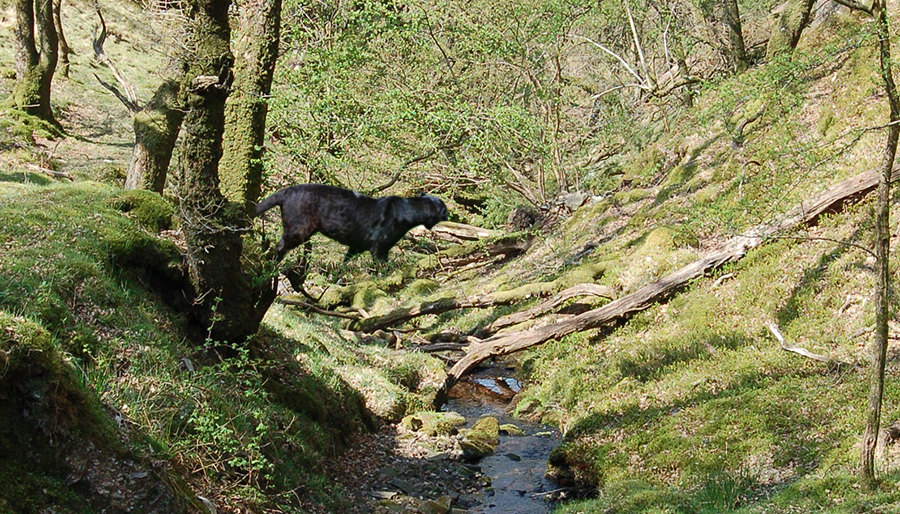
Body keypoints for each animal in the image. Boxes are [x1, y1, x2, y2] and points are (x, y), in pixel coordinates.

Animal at [253, 183, 450, 260]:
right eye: (445, 209)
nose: (449, 214)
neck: (409, 211)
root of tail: (287, 190)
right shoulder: (379, 249)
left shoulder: (356, 246)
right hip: (298, 231)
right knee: (279, 246)